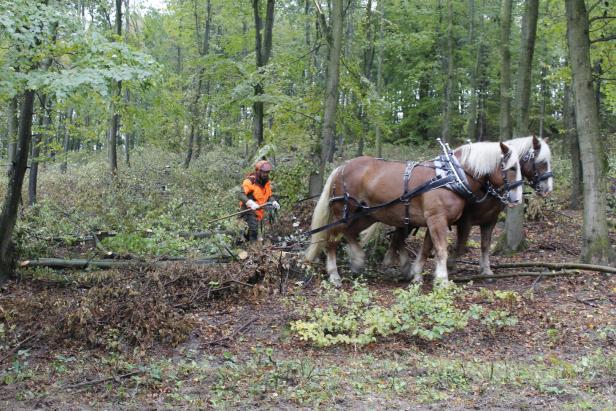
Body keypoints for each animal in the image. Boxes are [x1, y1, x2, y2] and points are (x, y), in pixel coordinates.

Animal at [306, 142, 524, 286]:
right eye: (512, 168)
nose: (517, 199)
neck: (452, 176)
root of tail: (342, 167)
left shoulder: (432, 221)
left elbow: (426, 249)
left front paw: (416, 274)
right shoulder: (437, 220)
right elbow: (441, 250)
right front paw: (443, 280)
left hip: (366, 215)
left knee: (350, 234)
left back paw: (358, 261)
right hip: (343, 213)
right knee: (332, 240)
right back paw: (334, 275)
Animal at [376, 137, 552, 278]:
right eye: (542, 163)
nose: (548, 189)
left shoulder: (490, 220)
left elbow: (485, 245)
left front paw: (485, 269)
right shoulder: (465, 221)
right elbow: (460, 246)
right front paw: (449, 265)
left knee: (398, 236)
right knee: (399, 236)